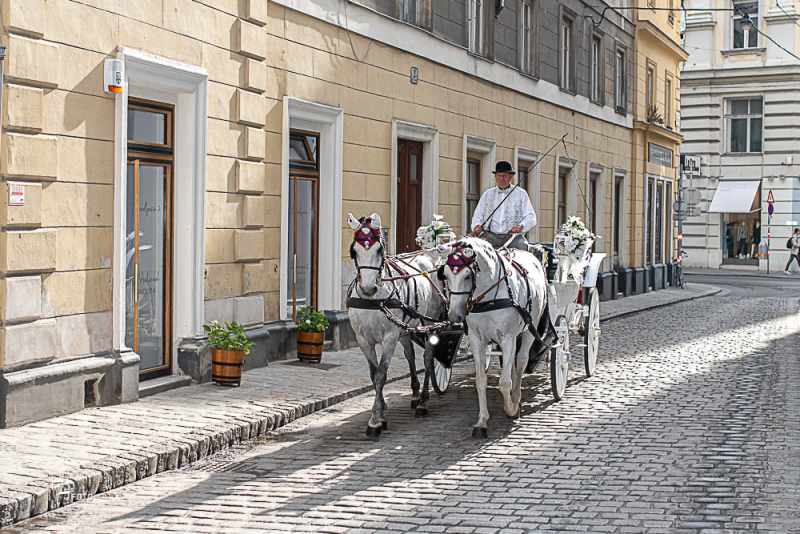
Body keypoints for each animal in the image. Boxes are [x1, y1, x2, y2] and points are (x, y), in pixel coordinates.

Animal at [346, 213, 454, 440]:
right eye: (354, 251)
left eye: (380, 250)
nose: (368, 288)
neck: (373, 300)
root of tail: (430, 254)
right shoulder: (363, 339)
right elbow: (373, 374)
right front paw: (381, 410)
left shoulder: (389, 337)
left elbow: (381, 374)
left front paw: (375, 420)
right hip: (405, 328)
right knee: (411, 356)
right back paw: (414, 395)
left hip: (429, 323)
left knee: (428, 358)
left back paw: (423, 401)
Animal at [438, 237, 552, 438]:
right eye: (446, 275)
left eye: (467, 276)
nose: (454, 316)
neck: (488, 298)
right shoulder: (477, 339)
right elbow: (481, 381)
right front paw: (482, 421)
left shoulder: (508, 338)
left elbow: (504, 382)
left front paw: (511, 409)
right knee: (513, 365)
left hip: (529, 330)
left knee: (521, 361)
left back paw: (516, 397)